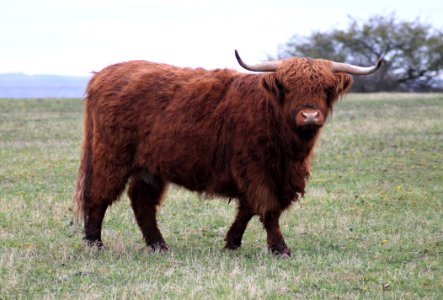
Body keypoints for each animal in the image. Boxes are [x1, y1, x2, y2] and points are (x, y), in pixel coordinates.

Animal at [73, 50, 382, 256]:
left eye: (326, 88)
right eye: (288, 87)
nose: (309, 116)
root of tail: (104, 74)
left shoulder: (272, 175)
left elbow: (248, 208)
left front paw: (232, 241)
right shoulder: (256, 170)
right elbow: (267, 209)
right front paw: (280, 248)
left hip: (149, 166)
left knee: (142, 202)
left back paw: (158, 245)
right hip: (111, 156)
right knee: (98, 196)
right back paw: (94, 244)